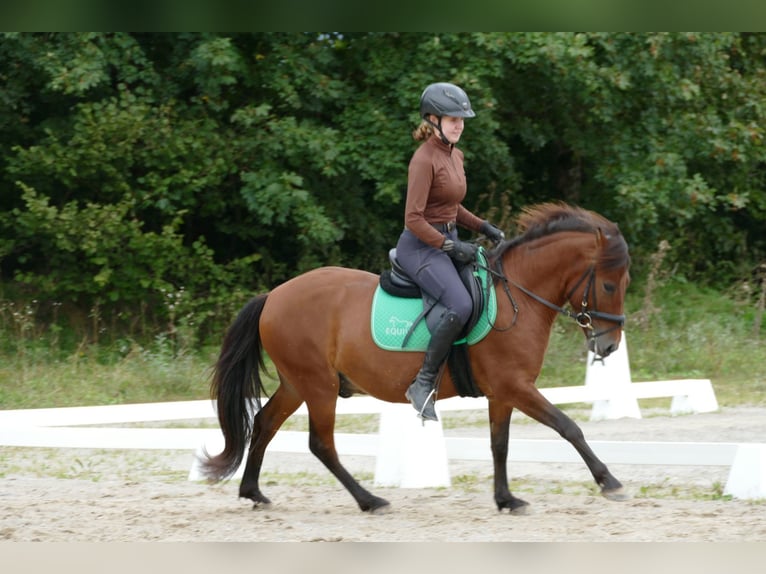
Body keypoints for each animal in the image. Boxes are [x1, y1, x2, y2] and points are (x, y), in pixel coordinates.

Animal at [201, 201, 632, 512]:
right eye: (609, 285)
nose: (609, 346)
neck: (519, 296)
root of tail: (273, 295)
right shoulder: (516, 387)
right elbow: (568, 427)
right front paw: (609, 482)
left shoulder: (503, 392)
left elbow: (500, 444)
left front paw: (506, 499)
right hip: (318, 386)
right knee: (320, 443)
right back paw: (370, 500)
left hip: (296, 382)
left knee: (265, 423)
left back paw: (253, 492)